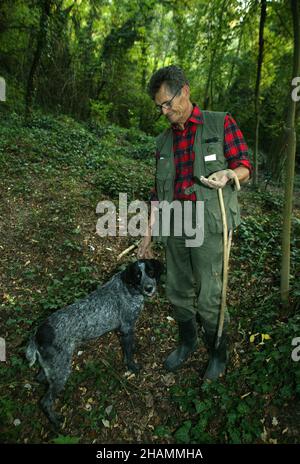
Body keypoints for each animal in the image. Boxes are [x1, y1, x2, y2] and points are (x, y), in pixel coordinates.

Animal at [26, 260, 163, 426]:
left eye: (151, 271)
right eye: (138, 275)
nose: (149, 288)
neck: (129, 288)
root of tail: (37, 333)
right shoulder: (127, 327)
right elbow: (128, 353)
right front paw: (132, 366)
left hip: (51, 365)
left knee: (40, 378)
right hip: (61, 370)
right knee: (45, 402)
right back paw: (56, 422)